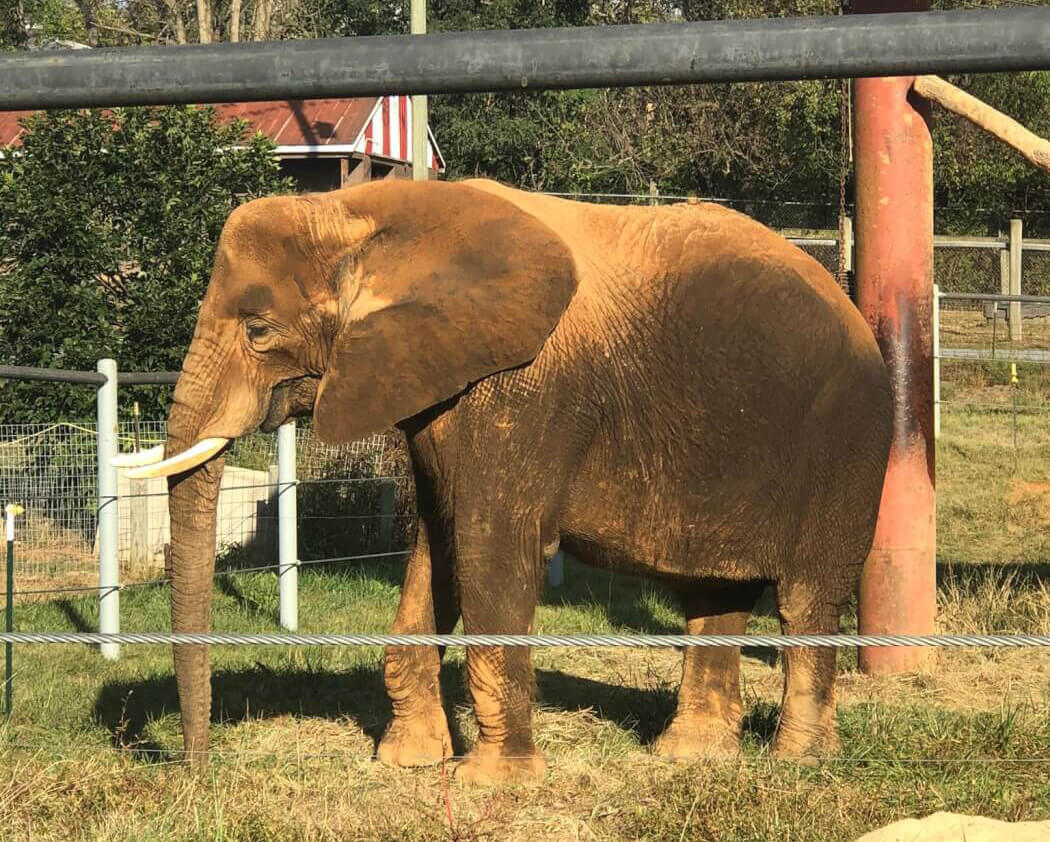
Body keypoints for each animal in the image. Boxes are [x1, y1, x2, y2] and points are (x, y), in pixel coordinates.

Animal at [120, 178, 892, 784]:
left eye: (257, 330)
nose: (200, 770)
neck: (367, 211)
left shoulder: (524, 388)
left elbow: (491, 544)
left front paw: (492, 781)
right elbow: (439, 546)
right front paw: (408, 761)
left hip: (847, 446)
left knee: (805, 601)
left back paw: (797, 763)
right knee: (711, 597)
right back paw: (690, 759)